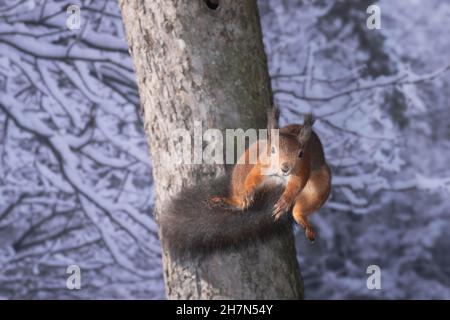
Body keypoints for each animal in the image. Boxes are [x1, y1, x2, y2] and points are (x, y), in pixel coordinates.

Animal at [162, 109, 330, 254]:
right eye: (272, 150)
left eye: (301, 153)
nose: (285, 168)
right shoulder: (262, 164)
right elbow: (252, 177)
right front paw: (248, 193)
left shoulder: (302, 171)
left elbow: (295, 186)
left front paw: (284, 201)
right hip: (245, 164)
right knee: (239, 195)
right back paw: (232, 202)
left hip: (320, 187)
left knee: (299, 210)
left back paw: (302, 220)